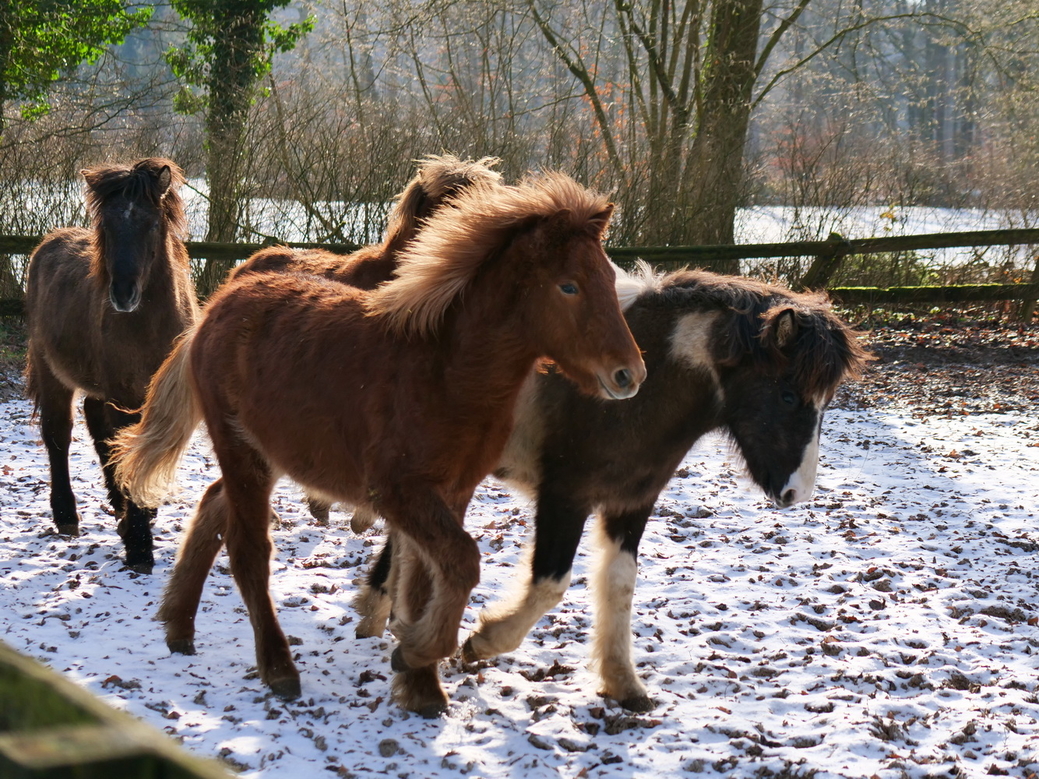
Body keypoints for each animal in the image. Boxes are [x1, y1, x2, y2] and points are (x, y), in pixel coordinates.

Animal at [23, 158, 198, 573]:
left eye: (151, 223)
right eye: (106, 225)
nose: (122, 294)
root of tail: (46, 244)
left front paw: (138, 517)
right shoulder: (124, 394)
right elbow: (123, 443)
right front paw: (139, 547)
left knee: (96, 423)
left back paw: (119, 504)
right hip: (53, 374)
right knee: (59, 433)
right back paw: (67, 515)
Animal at [115, 173, 648, 718]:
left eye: (610, 282)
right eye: (569, 286)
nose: (629, 375)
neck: (445, 372)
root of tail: (218, 304)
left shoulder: (452, 492)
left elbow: (424, 578)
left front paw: (420, 684)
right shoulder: (397, 492)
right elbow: (461, 563)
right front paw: (416, 651)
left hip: (268, 455)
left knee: (212, 504)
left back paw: (178, 627)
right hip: (243, 455)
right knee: (248, 553)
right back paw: (278, 668)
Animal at [357, 263, 868, 714]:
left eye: (826, 402)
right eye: (788, 395)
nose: (797, 493)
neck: (639, 393)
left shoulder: (632, 503)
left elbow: (620, 584)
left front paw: (623, 683)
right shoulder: (565, 497)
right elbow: (551, 583)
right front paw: (483, 642)